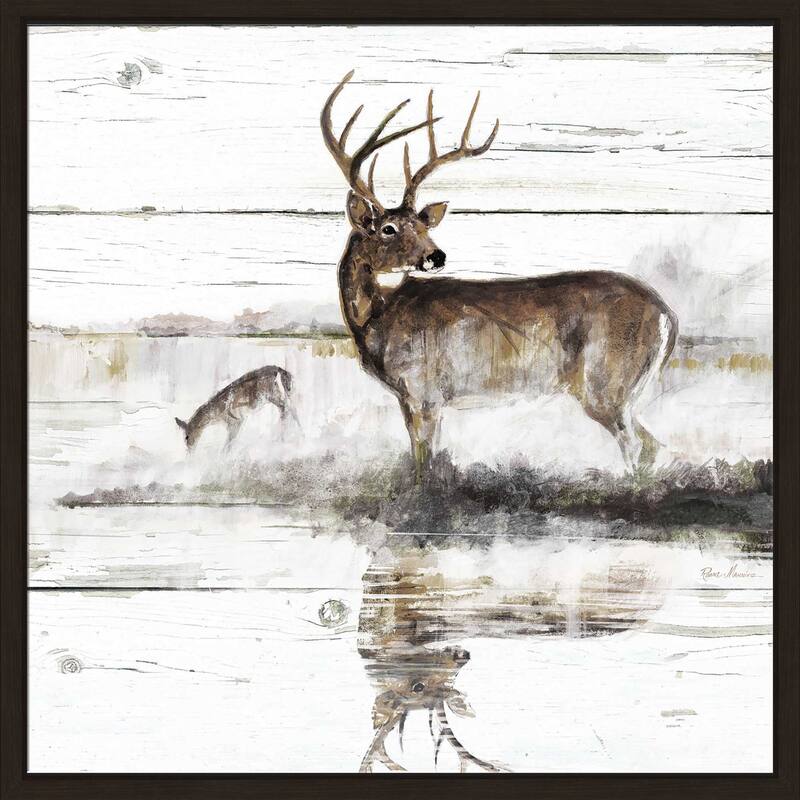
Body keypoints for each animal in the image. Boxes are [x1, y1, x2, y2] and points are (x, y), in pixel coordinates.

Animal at [321, 71, 678, 481]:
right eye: (389, 229)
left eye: (421, 226)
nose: (436, 255)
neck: (376, 318)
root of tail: (667, 315)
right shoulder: (419, 397)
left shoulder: (423, 390)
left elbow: (423, 463)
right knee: (652, 446)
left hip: (605, 382)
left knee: (638, 446)